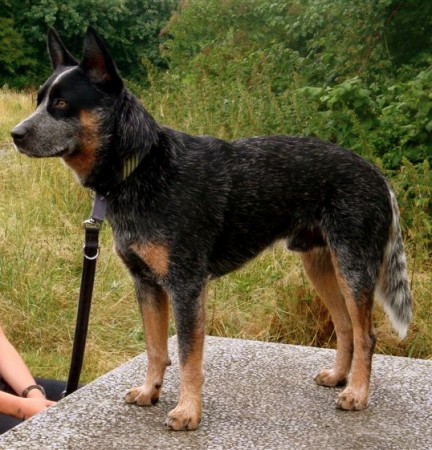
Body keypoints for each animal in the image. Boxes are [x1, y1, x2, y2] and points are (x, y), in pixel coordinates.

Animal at [11, 27, 412, 431]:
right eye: (39, 100)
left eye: (62, 103)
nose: (15, 134)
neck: (143, 167)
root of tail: (378, 175)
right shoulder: (147, 284)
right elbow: (155, 348)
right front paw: (150, 391)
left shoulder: (186, 286)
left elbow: (188, 357)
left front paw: (188, 411)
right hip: (321, 266)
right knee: (345, 327)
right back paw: (339, 377)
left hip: (354, 268)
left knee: (366, 334)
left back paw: (357, 393)